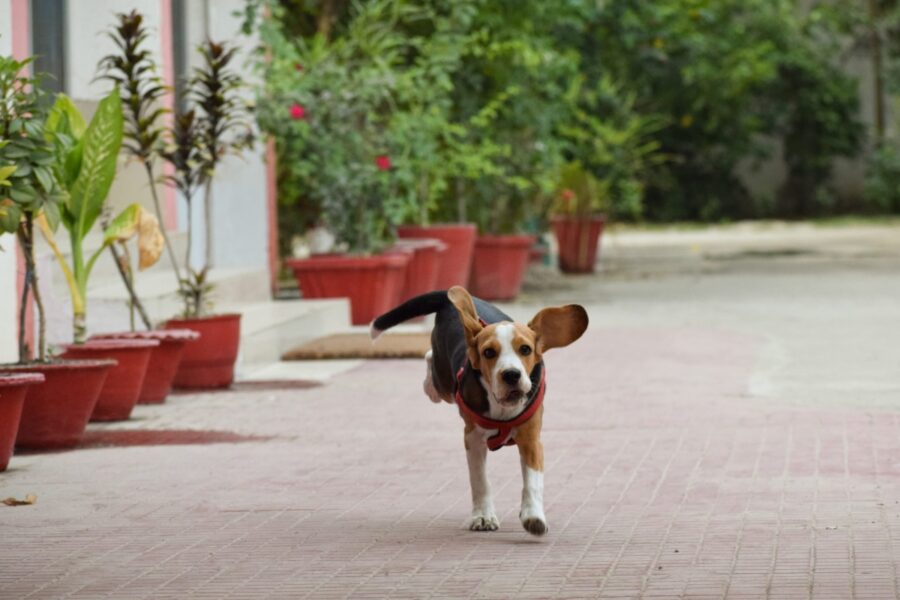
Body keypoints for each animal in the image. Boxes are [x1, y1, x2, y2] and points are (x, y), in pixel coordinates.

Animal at [370, 286, 588, 536]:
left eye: (525, 349)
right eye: (489, 353)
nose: (511, 374)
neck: (502, 408)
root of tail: (449, 300)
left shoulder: (531, 439)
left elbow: (532, 482)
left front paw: (533, 515)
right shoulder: (472, 438)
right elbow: (480, 480)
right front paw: (483, 516)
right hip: (443, 383)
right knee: (429, 361)